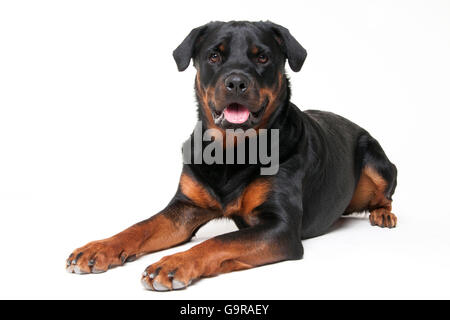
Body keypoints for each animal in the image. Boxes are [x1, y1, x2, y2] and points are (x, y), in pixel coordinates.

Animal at [67, 19, 398, 290]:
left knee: (385, 194)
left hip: (378, 161)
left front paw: (174, 263)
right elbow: (141, 226)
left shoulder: (280, 227)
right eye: (214, 55)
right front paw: (99, 248)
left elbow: (220, 240)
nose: (236, 82)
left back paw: (382, 213)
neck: (232, 151)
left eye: (262, 57)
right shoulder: (186, 207)